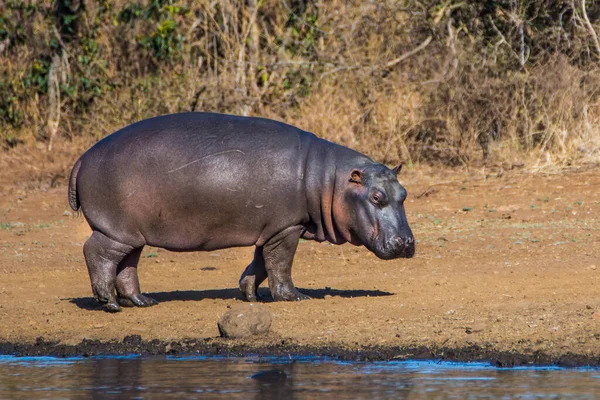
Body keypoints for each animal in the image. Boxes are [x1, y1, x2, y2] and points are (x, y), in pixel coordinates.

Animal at [65, 111, 412, 310]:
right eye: (377, 197)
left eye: (404, 194)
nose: (407, 243)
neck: (329, 181)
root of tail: (82, 157)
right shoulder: (287, 227)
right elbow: (280, 264)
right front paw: (294, 297)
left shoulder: (271, 228)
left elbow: (260, 263)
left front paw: (249, 295)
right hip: (115, 230)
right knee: (96, 252)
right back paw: (109, 304)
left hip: (133, 233)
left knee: (128, 265)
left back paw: (143, 302)